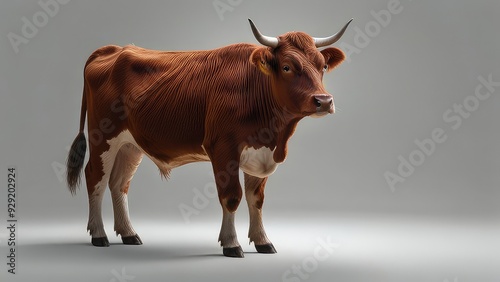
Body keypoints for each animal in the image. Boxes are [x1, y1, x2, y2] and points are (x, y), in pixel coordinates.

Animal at [66, 19, 352, 258]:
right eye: (287, 67)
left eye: (323, 66)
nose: (324, 101)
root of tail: (113, 48)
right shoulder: (224, 149)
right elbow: (232, 197)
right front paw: (231, 244)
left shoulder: (260, 153)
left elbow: (256, 199)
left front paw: (263, 241)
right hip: (103, 137)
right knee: (95, 178)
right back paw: (99, 235)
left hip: (130, 144)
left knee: (119, 183)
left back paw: (129, 233)